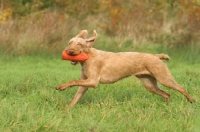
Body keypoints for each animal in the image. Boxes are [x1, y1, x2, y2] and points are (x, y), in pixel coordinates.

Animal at [56, 29, 195, 106]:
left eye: (79, 44)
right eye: (70, 43)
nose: (69, 51)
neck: (88, 57)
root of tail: (156, 56)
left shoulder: (92, 81)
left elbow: (73, 81)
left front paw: (61, 87)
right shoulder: (85, 83)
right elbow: (75, 98)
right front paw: (66, 110)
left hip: (164, 78)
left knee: (181, 88)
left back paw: (191, 100)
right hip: (149, 84)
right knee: (167, 94)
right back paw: (166, 106)